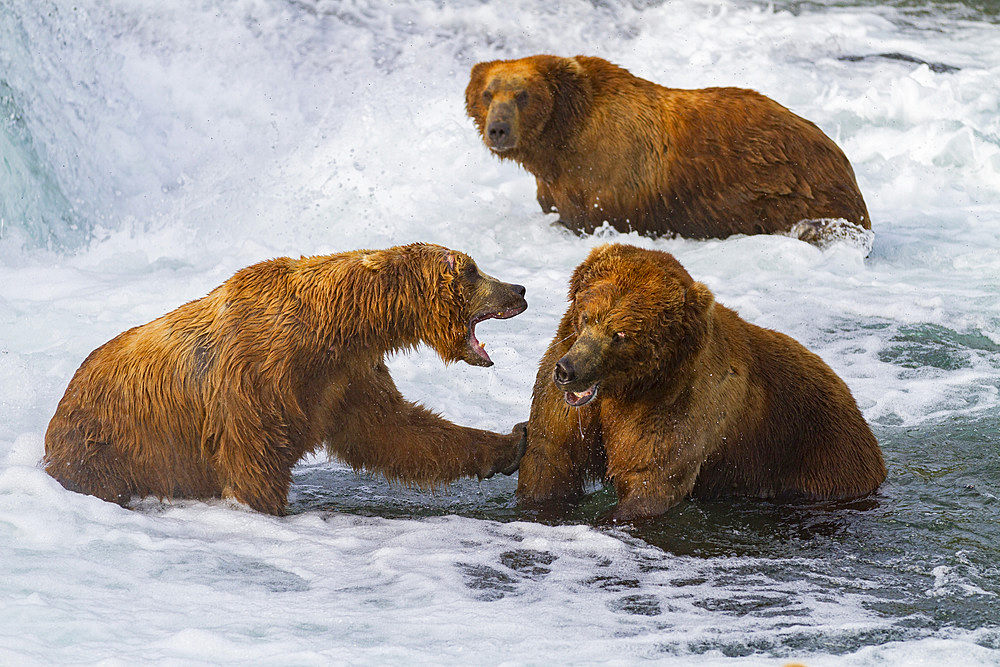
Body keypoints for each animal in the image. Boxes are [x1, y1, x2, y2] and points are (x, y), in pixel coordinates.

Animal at [45, 243, 532, 516]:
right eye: (472, 270)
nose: (520, 290)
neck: (335, 328)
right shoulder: (257, 379)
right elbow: (254, 462)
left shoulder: (344, 379)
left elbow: (395, 431)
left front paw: (512, 439)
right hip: (105, 448)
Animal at [466, 53, 868, 244]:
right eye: (488, 93)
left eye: (522, 94)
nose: (498, 129)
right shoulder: (556, 184)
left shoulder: (606, 178)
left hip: (791, 185)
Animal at [516, 245, 884, 520]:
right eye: (586, 316)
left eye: (620, 334)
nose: (569, 371)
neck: (624, 389)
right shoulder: (568, 402)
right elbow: (551, 458)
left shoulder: (680, 403)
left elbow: (650, 478)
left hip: (819, 449)